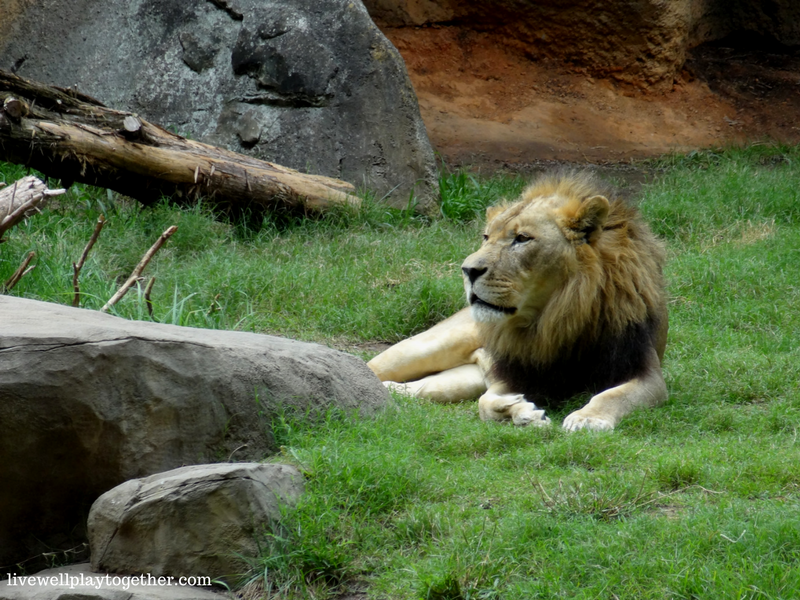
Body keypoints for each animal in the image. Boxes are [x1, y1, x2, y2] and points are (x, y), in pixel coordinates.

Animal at [368, 172, 668, 432]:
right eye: (486, 237)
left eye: (522, 238)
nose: (467, 270)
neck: (554, 318)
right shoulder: (512, 374)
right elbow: (486, 402)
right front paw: (522, 411)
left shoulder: (645, 371)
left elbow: (612, 396)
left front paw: (587, 418)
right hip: (428, 346)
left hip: (459, 380)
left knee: (419, 388)